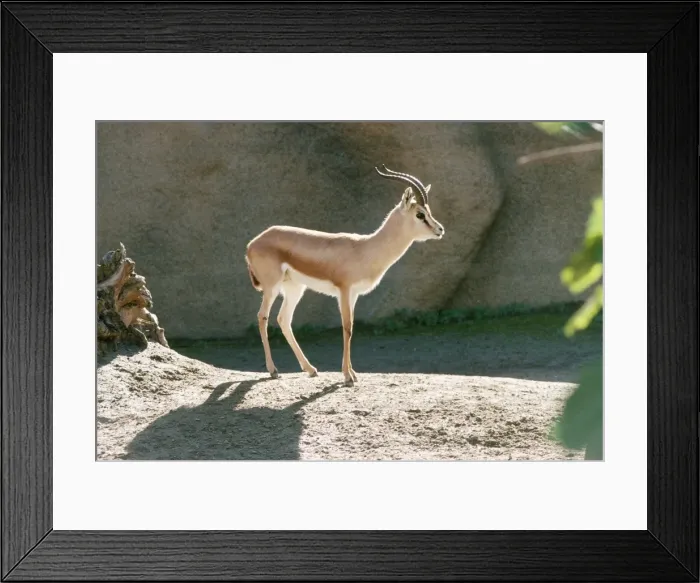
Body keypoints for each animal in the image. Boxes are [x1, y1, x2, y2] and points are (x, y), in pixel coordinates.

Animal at [245, 165, 445, 386]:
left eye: (428, 212)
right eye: (420, 214)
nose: (440, 230)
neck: (364, 249)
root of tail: (252, 244)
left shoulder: (354, 294)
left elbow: (351, 328)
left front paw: (352, 373)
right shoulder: (344, 290)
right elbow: (347, 327)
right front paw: (348, 376)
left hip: (295, 288)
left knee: (283, 319)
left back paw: (311, 369)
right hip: (271, 287)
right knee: (262, 316)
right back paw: (273, 370)